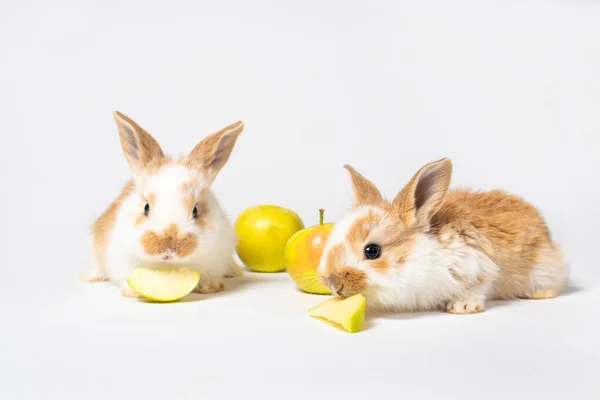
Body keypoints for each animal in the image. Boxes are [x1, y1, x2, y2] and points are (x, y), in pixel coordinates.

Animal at [316, 158, 568, 314]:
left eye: (372, 251)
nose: (331, 282)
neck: (421, 253)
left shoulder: (477, 266)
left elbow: (478, 287)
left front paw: (462, 307)